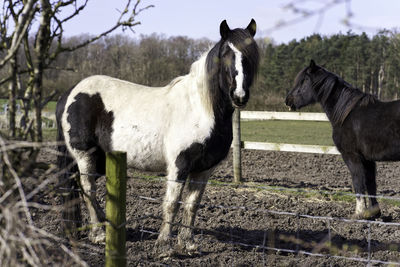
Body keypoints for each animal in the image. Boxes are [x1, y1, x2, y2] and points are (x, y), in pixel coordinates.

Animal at [56, 19, 260, 255]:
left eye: (250, 56)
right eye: (226, 53)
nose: (239, 96)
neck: (201, 109)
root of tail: (70, 93)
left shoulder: (203, 169)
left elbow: (192, 205)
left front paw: (187, 244)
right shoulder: (179, 165)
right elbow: (172, 203)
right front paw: (164, 246)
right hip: (84, 156)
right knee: (88, 189)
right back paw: (98, 234)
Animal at [286, 60, 400, 220]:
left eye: (303, 81)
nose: (288, 100)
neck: (347, 114)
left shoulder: (351, 156)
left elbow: (358, 183)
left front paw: (358, 213)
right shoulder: (368, 160)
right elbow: (371, 184)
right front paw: (374, 213)